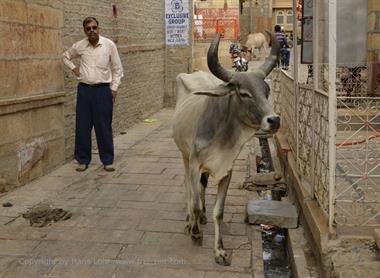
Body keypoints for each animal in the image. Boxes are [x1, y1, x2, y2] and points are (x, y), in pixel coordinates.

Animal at [171, 29, 280, 264]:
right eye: (244, 93)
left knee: (202, 188)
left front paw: (219, 250)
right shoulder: (194, 165)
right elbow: (194, 200)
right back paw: (190, 220)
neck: (221, 136)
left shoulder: (226, 171)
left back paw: (202, 216)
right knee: (189, 190)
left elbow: (218, 212)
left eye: (266, 91)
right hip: (184, 157)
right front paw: (195, 232)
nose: (274, 120)